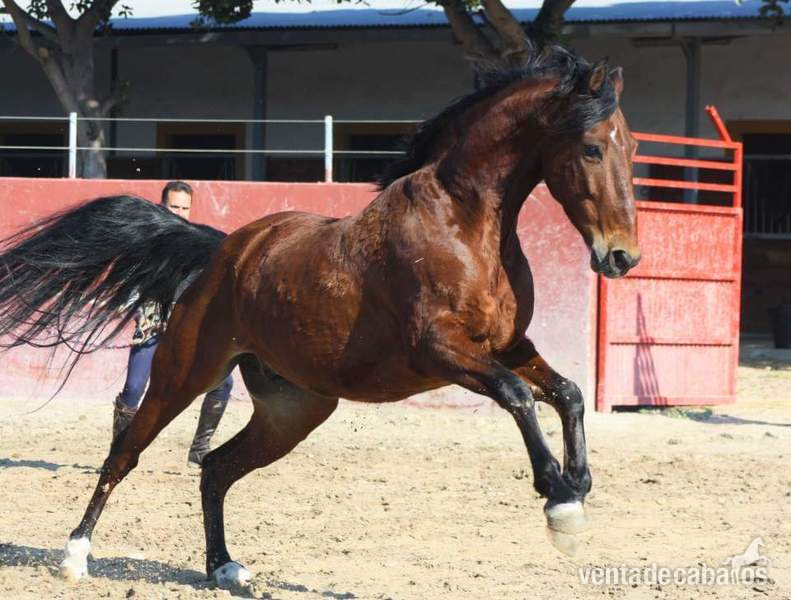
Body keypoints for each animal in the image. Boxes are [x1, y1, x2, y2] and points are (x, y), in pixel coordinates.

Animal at [0, 45, 640, 588]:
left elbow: (568, 393)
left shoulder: (506, 345)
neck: (465, 223)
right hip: (183, 374)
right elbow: (518, 395)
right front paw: (559, 500)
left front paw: (579, 484)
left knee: (217, 469)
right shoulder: (441, 349)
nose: (622, 256)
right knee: (124, 454)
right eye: (590, 147)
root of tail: (222, 251)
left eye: (632, 148)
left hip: (295, 409)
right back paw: (74, 556)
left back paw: (224, 568)